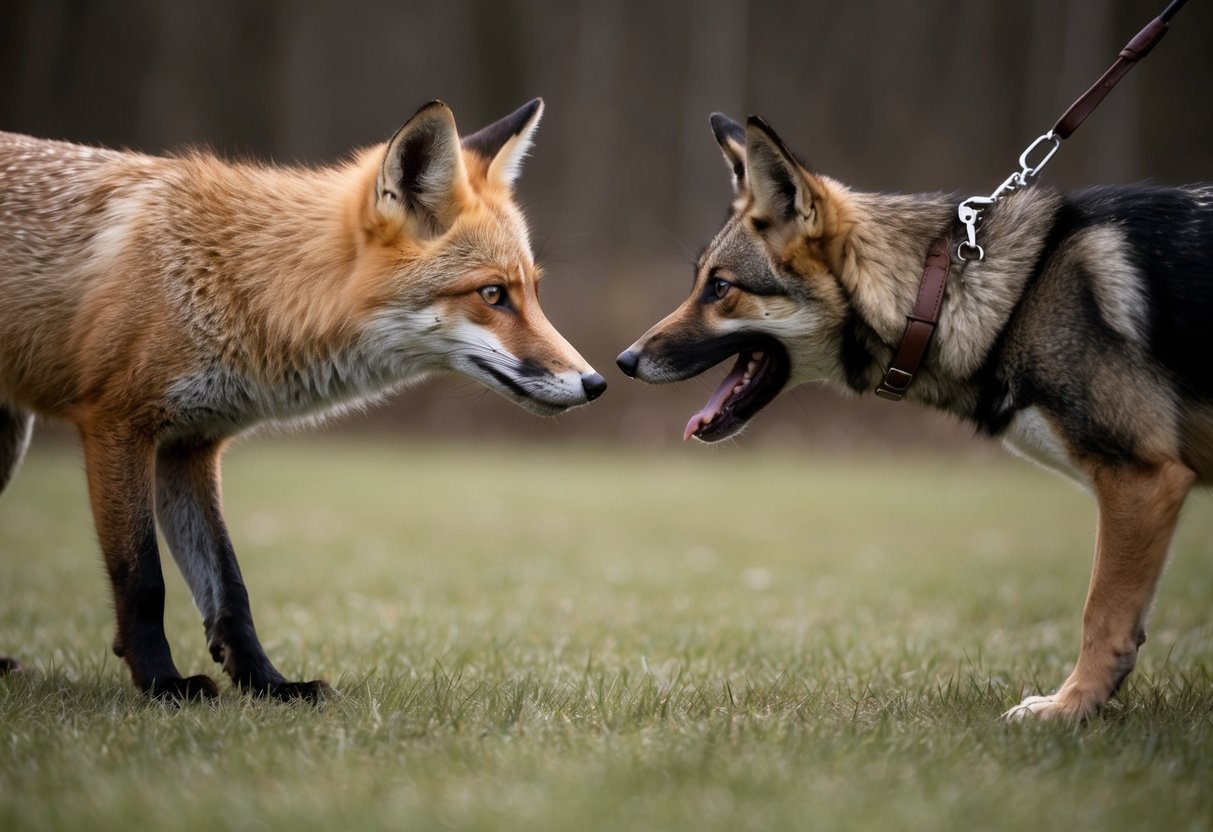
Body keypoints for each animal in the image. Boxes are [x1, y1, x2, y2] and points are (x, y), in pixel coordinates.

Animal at [0, 98, 606, 701]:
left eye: (533, 292)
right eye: (492, 294)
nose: (595, 382)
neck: (244, 286)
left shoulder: (189, 445)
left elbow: (230, 587)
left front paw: (268, 685)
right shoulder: (116, 422)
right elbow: (143, 579)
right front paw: (162, 685)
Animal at [617, 112, 1212, 723]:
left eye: (719, 288)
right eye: (699, 283)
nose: (622, 362)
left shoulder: (1140, 478)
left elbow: (1101, 615)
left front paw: (1068, 709)